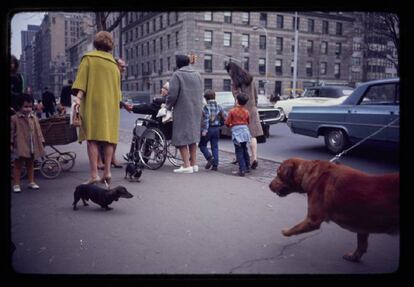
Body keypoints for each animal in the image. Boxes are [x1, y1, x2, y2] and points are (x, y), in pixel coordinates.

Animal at [266, 159, 400, 262]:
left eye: (278, 174)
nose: (269, 185)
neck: (310, 172)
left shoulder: (312, 220)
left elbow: (295, 227)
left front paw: (286, 231)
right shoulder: (363, 224)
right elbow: (361, 245)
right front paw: (354, 257)